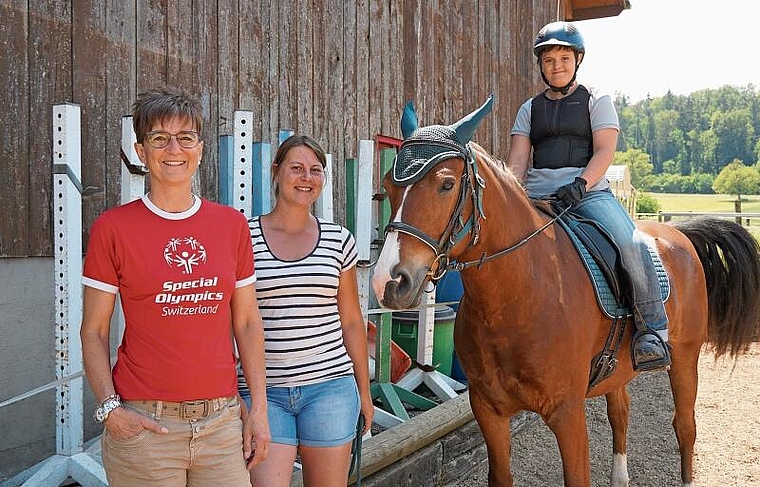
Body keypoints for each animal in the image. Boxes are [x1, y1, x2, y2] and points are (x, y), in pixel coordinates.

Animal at [372, 97, 760, 486]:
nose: (389, 280)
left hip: (685, 358)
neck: (517, 299)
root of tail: (680, 234)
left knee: (685, 426)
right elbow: (501, 475)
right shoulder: (488, 410)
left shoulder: (567, 412)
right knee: (621, 413)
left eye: (447, 185)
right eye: (389, 185)